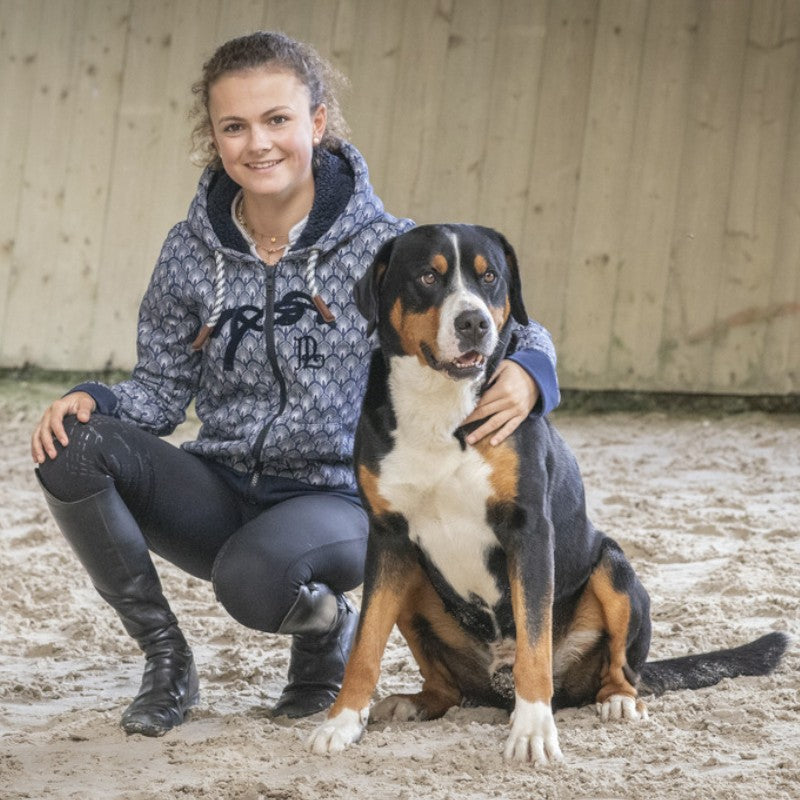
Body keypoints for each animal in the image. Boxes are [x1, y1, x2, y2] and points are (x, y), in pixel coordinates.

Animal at [306, 220, 788, 764]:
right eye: (428, 276)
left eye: (489, 277)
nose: (473, 322)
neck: (441, 410)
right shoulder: (388, 539)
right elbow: (365, 645)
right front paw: (342, 722)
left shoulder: (530, 531)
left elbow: (533, 647)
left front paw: (533, 730)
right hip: (415, 584)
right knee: (447, 689)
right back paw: (412, 702)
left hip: (614, 569)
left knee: (620, 670)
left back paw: (617, 701)